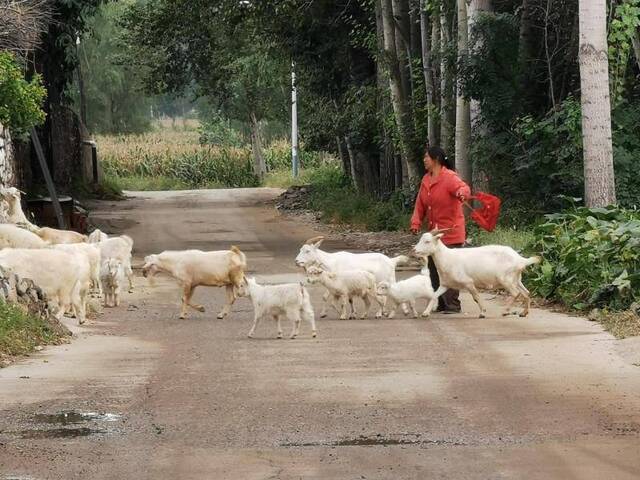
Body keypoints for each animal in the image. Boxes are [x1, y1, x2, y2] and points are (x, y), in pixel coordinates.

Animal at [412, 230, 544, 318]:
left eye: (427, 241)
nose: (414, 250)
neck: (447, 258)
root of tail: (520, 259)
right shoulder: (445, 284)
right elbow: (434, 296)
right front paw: (425, 313)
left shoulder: (468, 282)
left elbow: (476, 297)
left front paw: (482, 312)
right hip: (516, 279)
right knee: (526, 292)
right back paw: (524, 313)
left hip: (505, 279)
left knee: (516, 293)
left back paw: (506, 311)